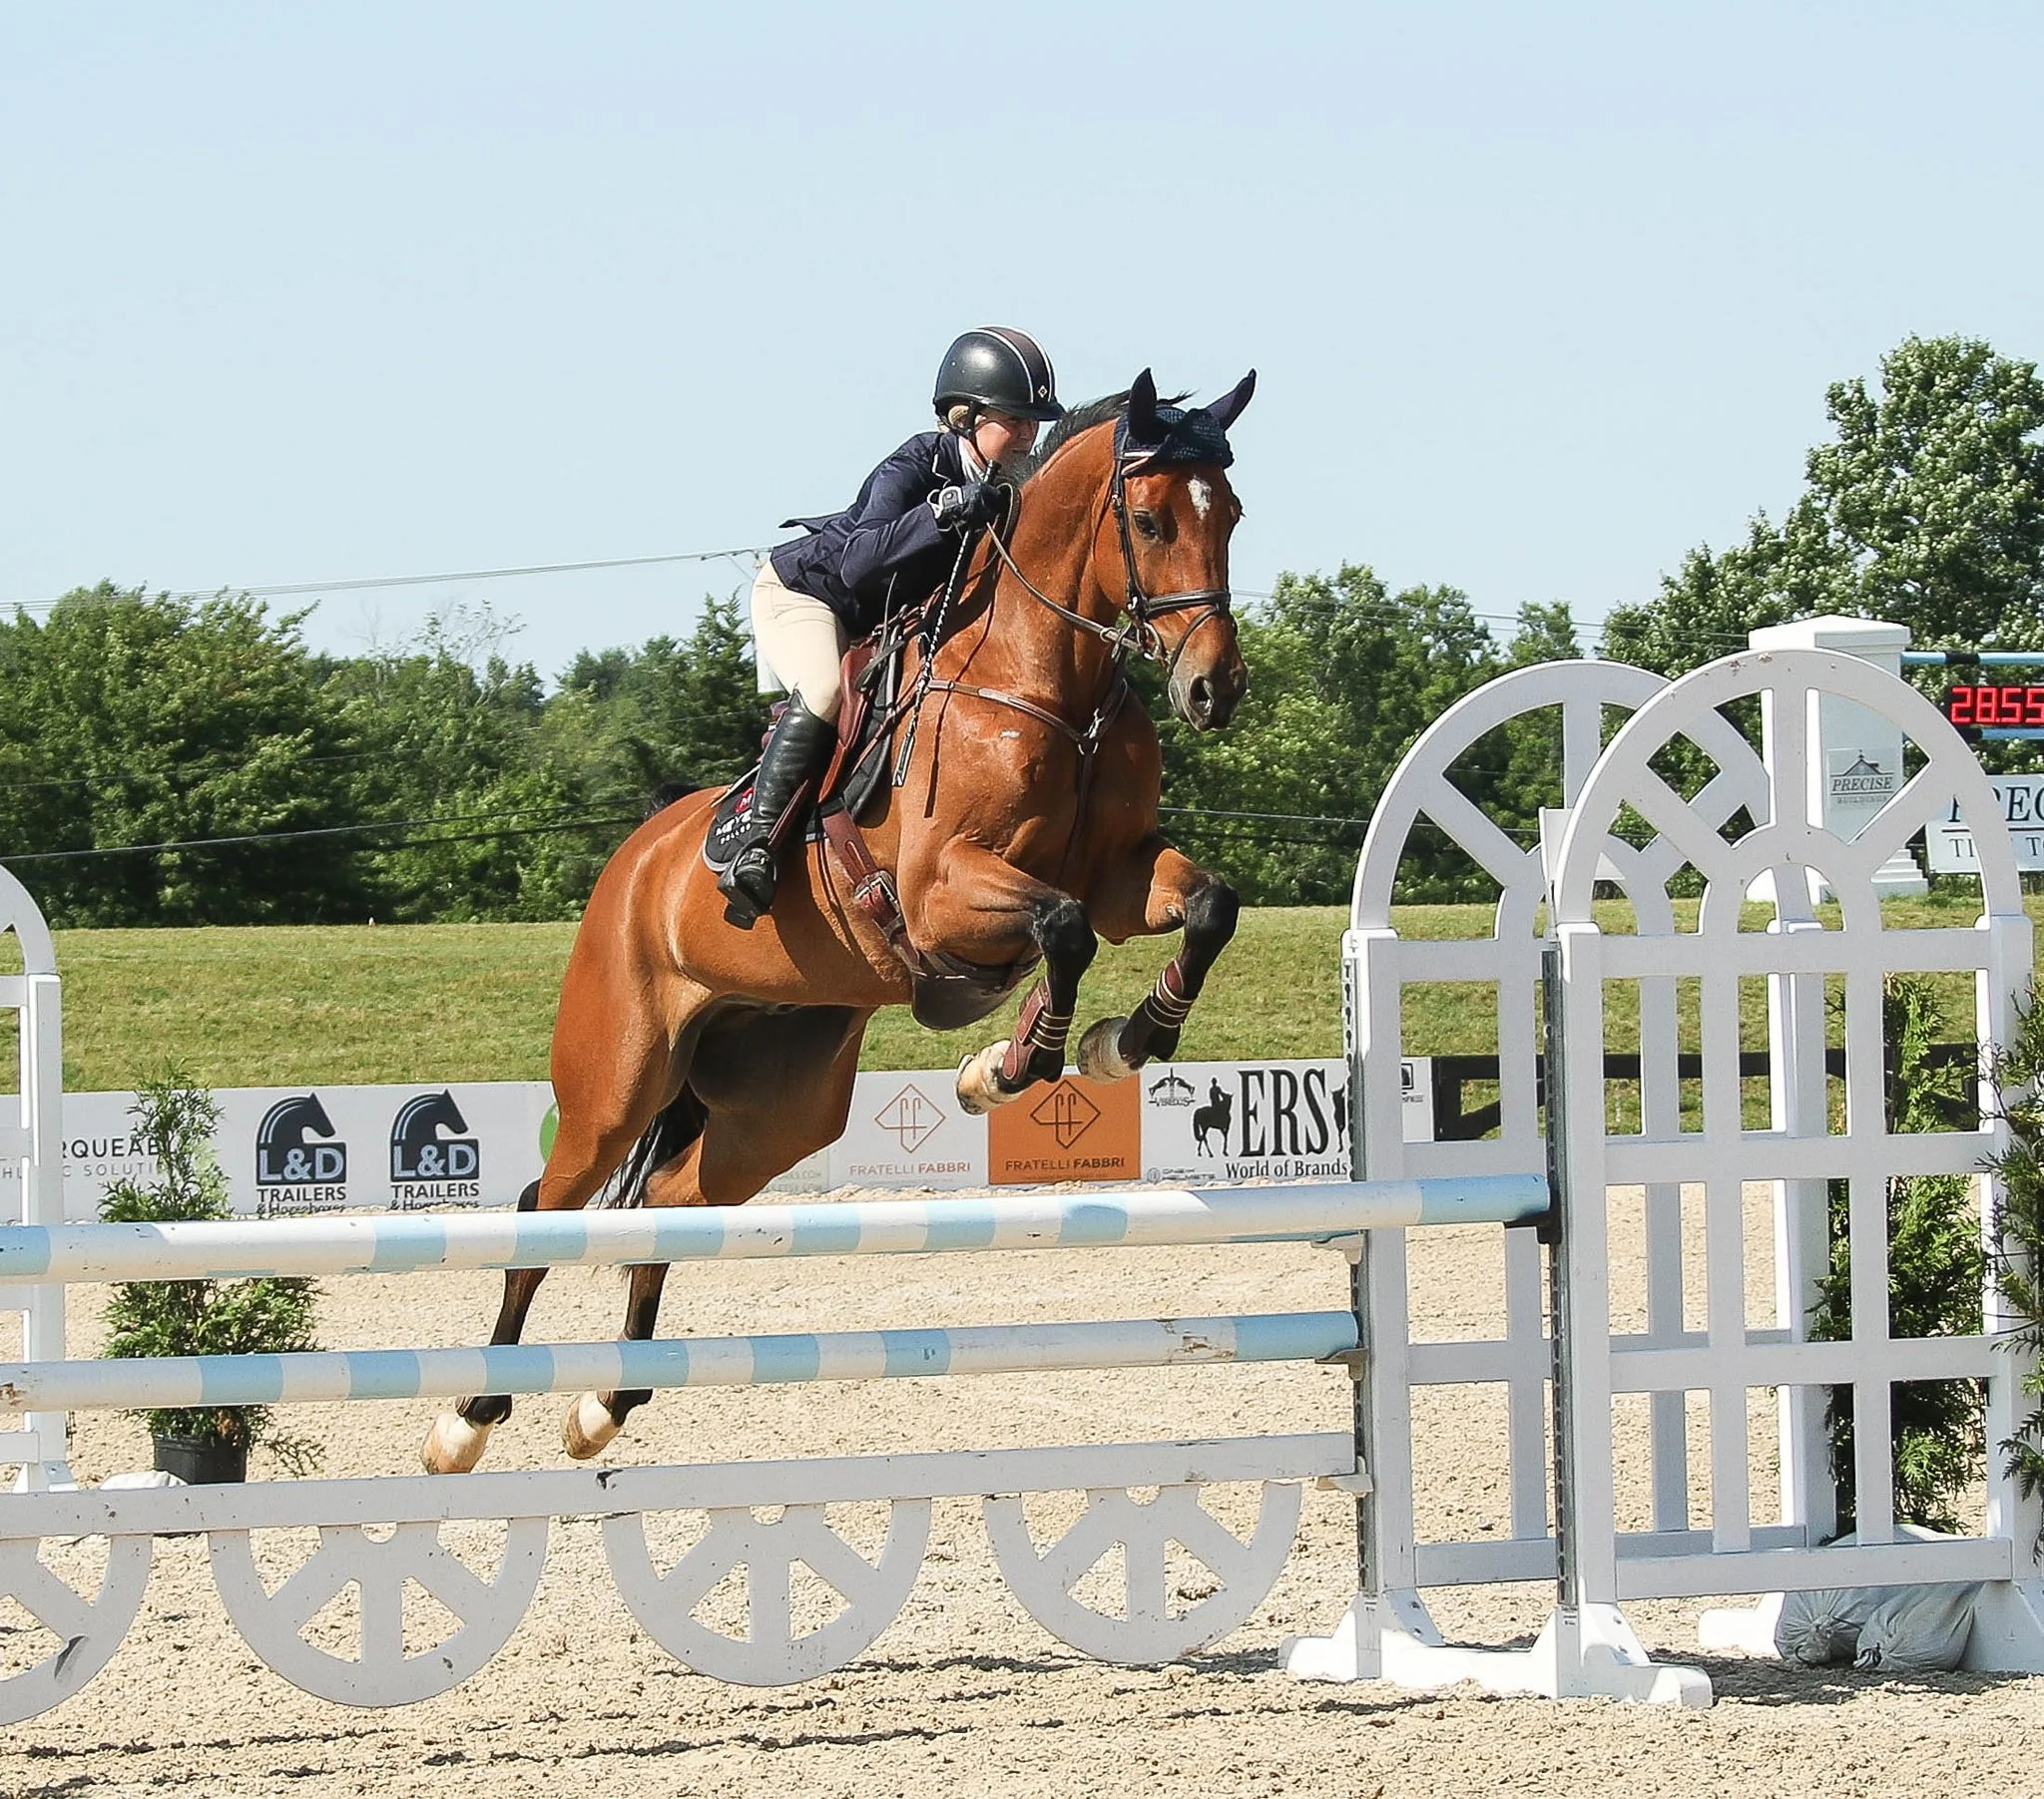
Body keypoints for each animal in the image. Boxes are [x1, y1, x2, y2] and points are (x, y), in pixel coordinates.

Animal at [422, 367, 1256, 1474]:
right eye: (1153, 518)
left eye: (1232, 515)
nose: (1214, 690)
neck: (1046, 683)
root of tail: (632, 860)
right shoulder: (943, 888)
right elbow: (1064, 927)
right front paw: (1009, 1067)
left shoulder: (1124, 874)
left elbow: (1204, 906)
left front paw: (1126, 1041)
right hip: (614, 1083)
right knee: (543, 1212)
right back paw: (465, 1420)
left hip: (778, 1106)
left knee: (667, 1201)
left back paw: (606, 1403)